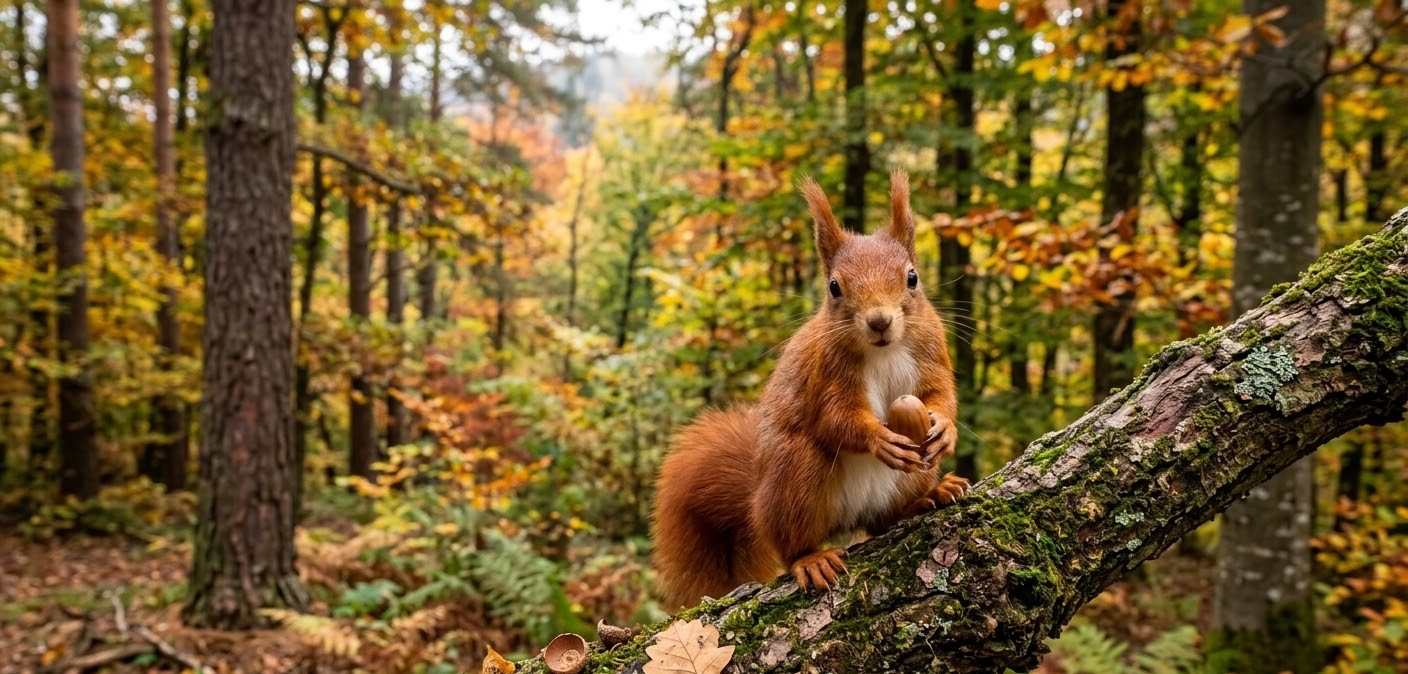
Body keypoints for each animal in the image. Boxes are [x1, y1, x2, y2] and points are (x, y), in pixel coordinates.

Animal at [651, 169, 969, 609]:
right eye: (834, 287)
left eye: (912, 278)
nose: (880, 321)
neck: (883, 351)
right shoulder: (826, 373)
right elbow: (835, 418)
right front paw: (878, 439)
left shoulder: (931, 349)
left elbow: (942, 393)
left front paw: (945, 429)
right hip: (796, 475)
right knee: (793, 543)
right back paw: (811, 558)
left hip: (909, 477)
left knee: (883, 520)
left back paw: (930, 496)